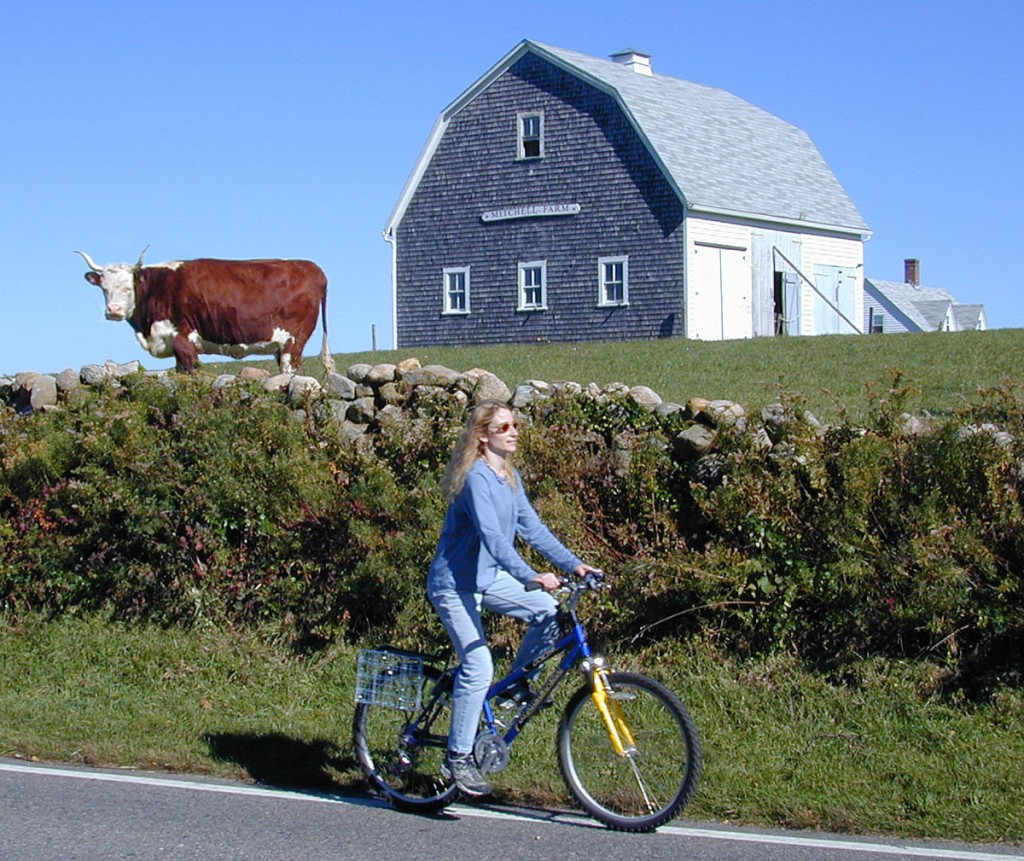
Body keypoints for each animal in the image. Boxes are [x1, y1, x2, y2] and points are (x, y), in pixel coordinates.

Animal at [74, 245, 335, 372]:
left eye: (129, 287)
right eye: (104, 288)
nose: (114, 310)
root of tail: (312, 267)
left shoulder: (184, 339)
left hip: (293, 341)